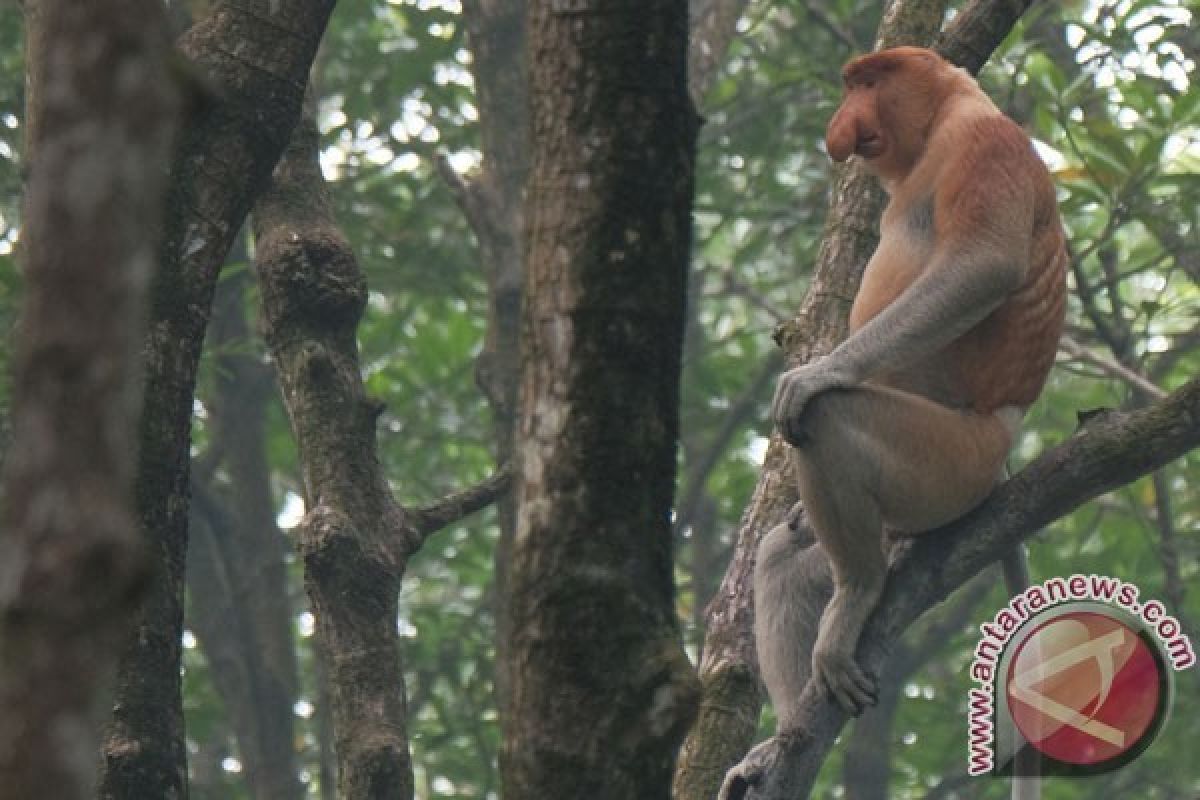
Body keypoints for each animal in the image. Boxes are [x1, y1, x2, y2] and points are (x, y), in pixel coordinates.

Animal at [763, 47, 1065, 714]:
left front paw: (816, 373)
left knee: (830, 419)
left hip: (950, 464)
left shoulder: (985, 145)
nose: (841, 126)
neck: (946, 116)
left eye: (870, 82)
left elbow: (984, 264)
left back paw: (858, 592)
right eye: (852, 85)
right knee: (781, 555)